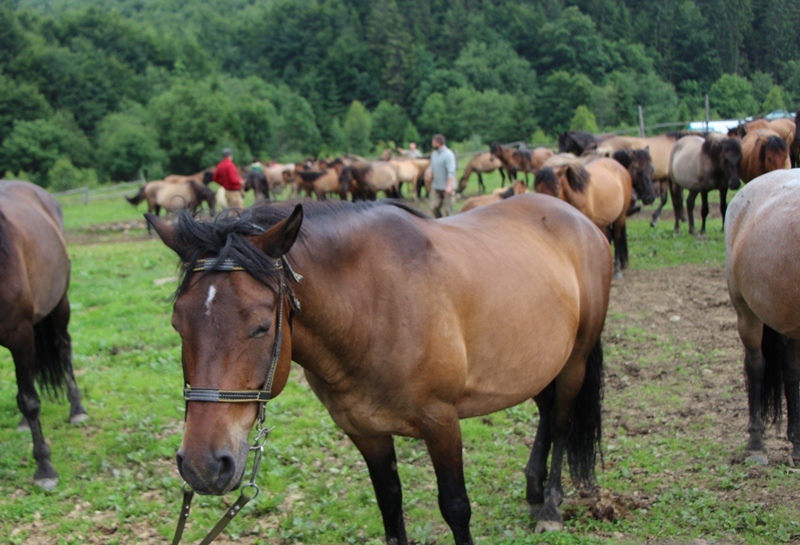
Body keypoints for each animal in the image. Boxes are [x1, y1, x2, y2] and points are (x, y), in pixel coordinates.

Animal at [0, 180, 88, 488]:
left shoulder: (20, 334)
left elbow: (30, 401)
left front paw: (44, 466)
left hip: (59, 306)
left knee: (63, 349)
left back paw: (77, 408)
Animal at [150, 193, 608, 540]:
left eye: (261, 326)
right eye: (177, 325)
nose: (203, 466)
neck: (374, 308)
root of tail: (580, 219)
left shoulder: (442, 423)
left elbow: (456, 507)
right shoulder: (365, 432)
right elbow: (390, 504)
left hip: (574, 362)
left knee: (562, 422)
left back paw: (550, 507)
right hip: (538, 363)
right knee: (547, 413)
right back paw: (533, 492)